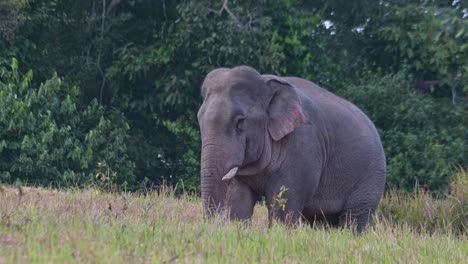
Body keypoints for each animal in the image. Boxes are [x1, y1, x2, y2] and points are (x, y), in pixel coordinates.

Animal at [199, 65, 386, 232]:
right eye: (199, 121)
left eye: (240, 122)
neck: (265, 82)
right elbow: (238, 200)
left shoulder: (301, 145)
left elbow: (284, 204)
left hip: (370, 178)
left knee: (355, 220)